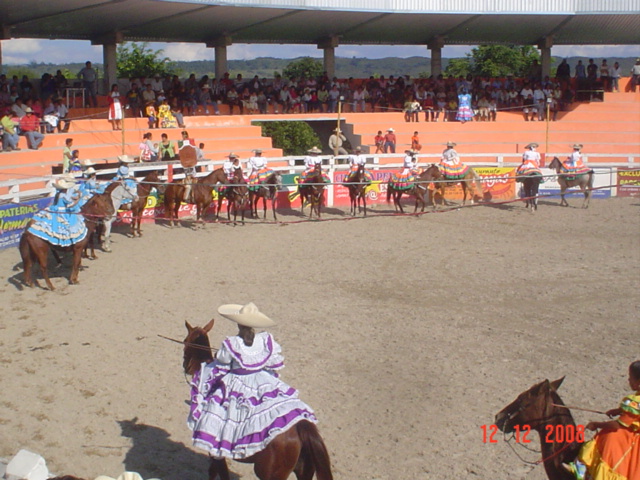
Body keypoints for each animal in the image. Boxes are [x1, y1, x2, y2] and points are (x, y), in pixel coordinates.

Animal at [181, 318, 336, 480]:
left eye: (185, 340)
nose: (186, 366)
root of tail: (302, 426)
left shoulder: (215, 452)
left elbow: (217, 471)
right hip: (303, 470)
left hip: (270, 474)